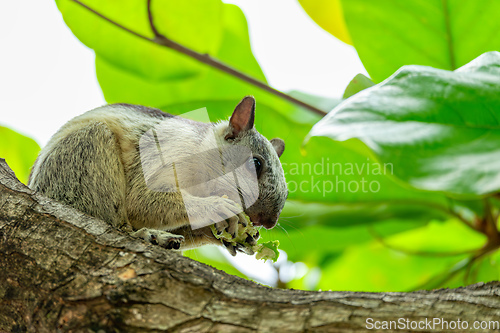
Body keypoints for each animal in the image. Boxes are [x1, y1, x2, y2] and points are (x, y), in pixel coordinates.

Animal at [28, 95, 290, 254]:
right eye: (255, 163)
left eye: (287, 193)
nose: (268, 221)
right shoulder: (166, 153)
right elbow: (141, 200)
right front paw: (219, 208)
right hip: (85, 158)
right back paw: (148, 234)